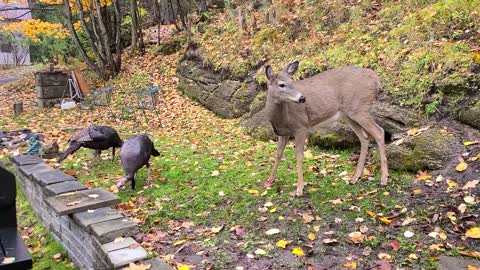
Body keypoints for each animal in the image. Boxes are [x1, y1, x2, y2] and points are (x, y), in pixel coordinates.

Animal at [264, 60, 388, 196]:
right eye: (281, 84)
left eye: (293, 80)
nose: (302, 98)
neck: (281, 118)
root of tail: (376, 79)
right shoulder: (283, 133)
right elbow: (278, 154)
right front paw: (270, 180)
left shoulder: (301, 126)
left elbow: (299, 156)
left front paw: (299, 189)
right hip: (350, 114)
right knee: (364, 138)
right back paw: (355, 177)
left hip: (360, 108)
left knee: (379, 132)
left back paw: (384, 179)